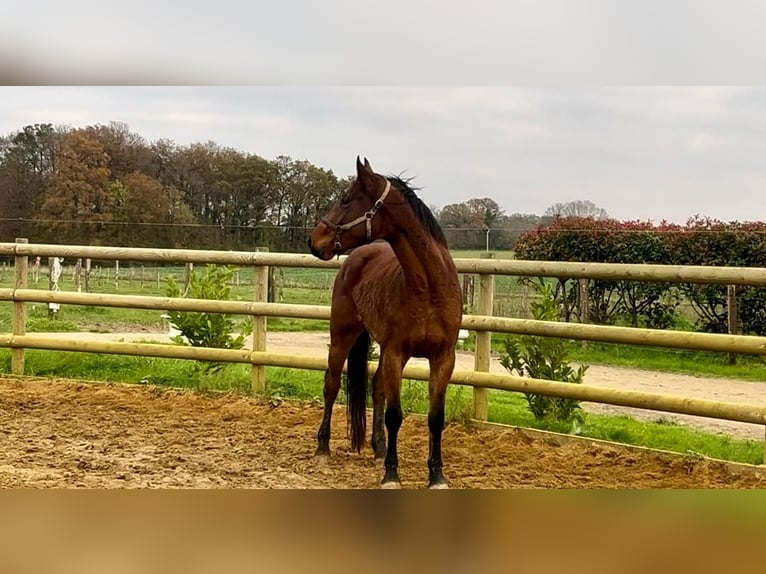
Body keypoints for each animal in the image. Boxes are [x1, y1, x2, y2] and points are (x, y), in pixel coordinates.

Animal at [308, 158, 464, 490]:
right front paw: (392, 475)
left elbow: (436, 417)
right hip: (342, 336)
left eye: (346, 199)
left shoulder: (444, 358)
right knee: (331, 385)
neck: (428, 288)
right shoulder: (396, 353)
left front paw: (437, 476)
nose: (313, 240)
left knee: (376, 386)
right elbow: (395, 415)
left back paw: (378, 449)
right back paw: (323, 449)